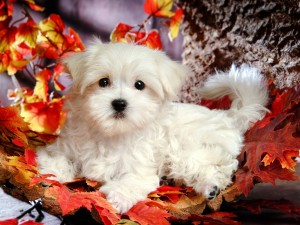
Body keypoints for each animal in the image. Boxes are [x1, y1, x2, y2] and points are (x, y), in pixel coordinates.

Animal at [36, 39, 268, 214]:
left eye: (140, 85)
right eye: (103, 82)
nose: (119, 103)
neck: (112, 133)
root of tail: (229, 116)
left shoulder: (140, 167)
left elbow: (133, 180)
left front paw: (118, 197)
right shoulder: (65, 146)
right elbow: (56, 158)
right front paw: (52, 173)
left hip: (186, 151)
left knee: (222, 164)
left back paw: (211, 186)